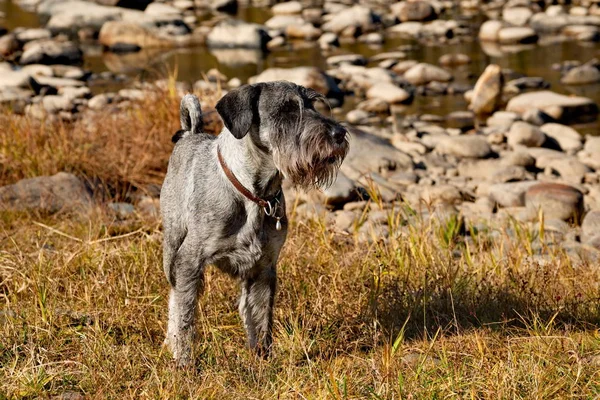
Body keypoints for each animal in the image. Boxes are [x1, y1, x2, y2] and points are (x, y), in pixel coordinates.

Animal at [159, 81, 350, 366]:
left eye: (313, 104)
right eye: (287, 109)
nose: (339, 133)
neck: (254, 194)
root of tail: (189, 135)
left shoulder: (264, 268)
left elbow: (260, 318)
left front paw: (264, 360)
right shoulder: (189, 261)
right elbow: (185, 316)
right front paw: (183, 362)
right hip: (171, 248)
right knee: (173, 297)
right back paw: (169, 344)